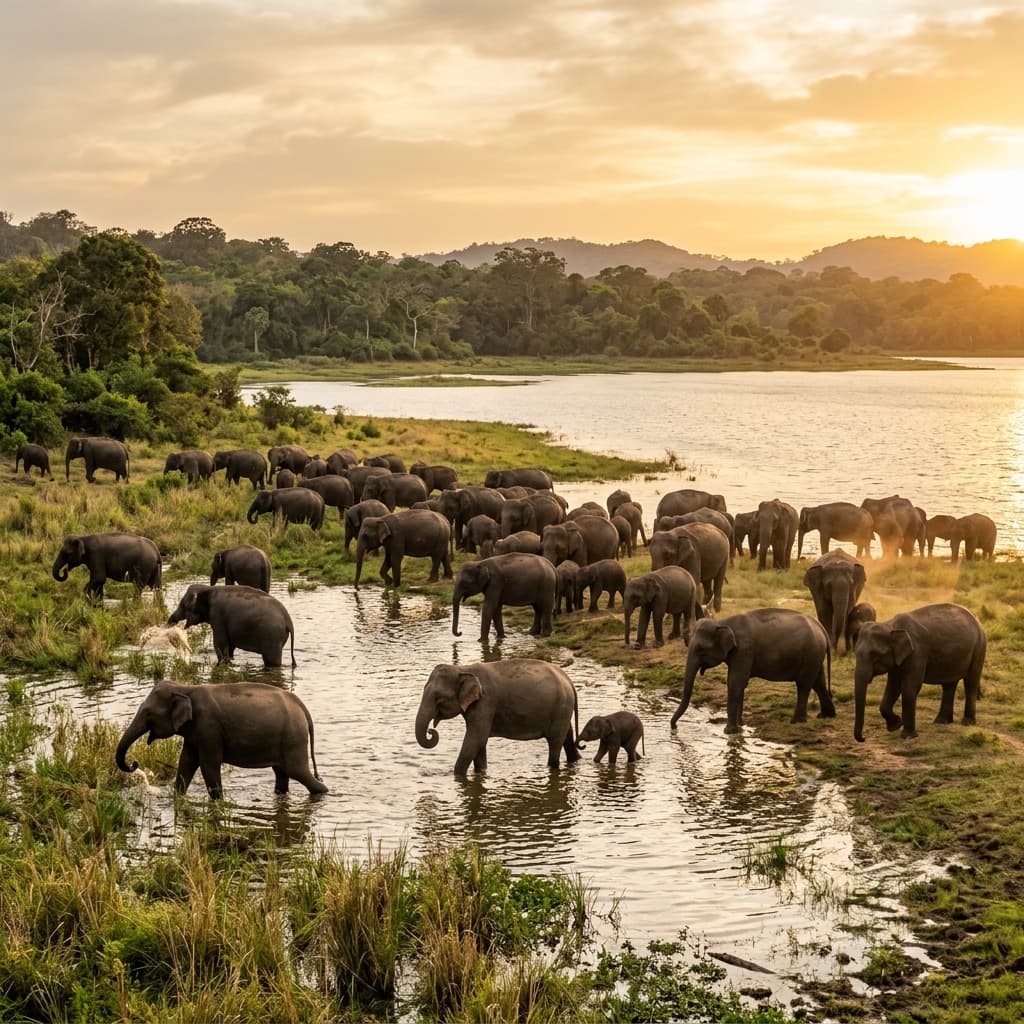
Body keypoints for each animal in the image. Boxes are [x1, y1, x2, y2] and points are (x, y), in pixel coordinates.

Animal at [116, 681, 326, 798]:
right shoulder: (195, 733)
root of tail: (302, 707)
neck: (184, 687)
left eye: (148, 714)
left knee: (297, 772)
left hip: (293, 739)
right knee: (282, 773)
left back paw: (323, 792)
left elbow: (208, 765)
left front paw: (218, 802)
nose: (134, 763)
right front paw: (177, 798)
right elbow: (186, 762)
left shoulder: (209, 728)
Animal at [168, 583, 296, 668]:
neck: (209, 589)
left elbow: (219, 643)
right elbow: (229, 645)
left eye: (183, 605)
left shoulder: (217, 615)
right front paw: (229, 660)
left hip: (272, 636)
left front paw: (222, 663)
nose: (170, 624)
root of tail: (288, 621)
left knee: (272, 661)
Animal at [415, 659, 580, 775]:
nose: (431, 731)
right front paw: (480, 773)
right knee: (568, 736)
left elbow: (476, 739)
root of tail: (569, 680)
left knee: (555, 742)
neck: (463, 669)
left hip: (560, 708)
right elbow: (479, 743)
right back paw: (576, 760)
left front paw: (457, 776)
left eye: (438, 698)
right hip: (563, 710)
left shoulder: (486, 703)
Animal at [670, 609, 834, 735]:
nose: (674, 728)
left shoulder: (744, 649)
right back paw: (826, 716)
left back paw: (797, 722)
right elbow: (741, 684)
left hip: (811, 653)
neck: (723, 622)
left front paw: (728, 731)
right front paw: (740, 726)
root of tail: (821, 628)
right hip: (815, 655)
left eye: (700, 649)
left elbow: (735, 682)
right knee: (818, 681)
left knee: (804, 685)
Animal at [853, 603, 986, 742]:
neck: (890, 625)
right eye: (855, 653)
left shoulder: (917, 652)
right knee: (949, 684)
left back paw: (967, 723)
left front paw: (907, 736)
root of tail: (976, 619)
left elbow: (909, 687)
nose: (863, 738)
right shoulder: (899, 658)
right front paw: (895, 725)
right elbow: (893, 687)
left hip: (979, 647)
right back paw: (941, 721)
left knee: (970, 682)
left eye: (875, 655)